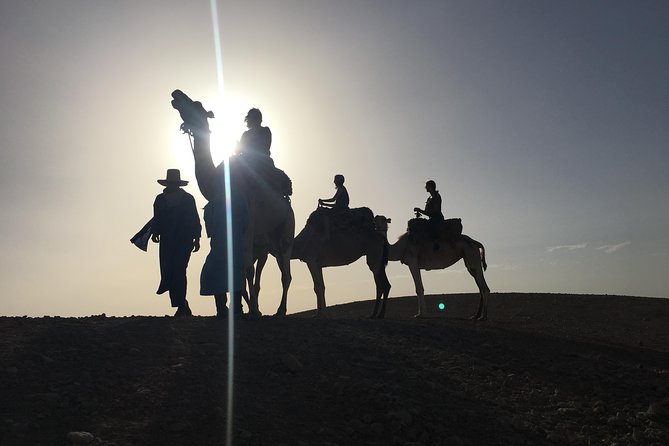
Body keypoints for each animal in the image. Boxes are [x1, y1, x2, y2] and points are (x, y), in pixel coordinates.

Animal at [171, 90, 294, 317]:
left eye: (197, 104)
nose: (177, 94)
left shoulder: (248, 219)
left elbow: (246, 269)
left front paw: (252, 311)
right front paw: (242, 309)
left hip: (286, 227)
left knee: (285, 273)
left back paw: (280, 310)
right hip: (269, 239)